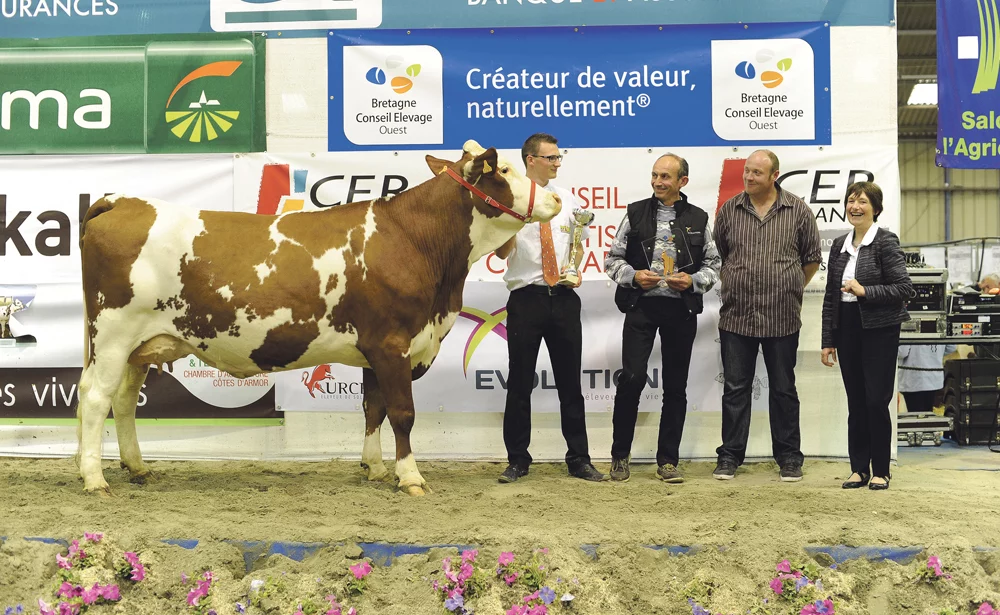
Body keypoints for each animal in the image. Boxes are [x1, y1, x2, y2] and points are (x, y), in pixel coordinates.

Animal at [76, 141, 564, 496]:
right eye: (504, 171)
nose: (557, 197)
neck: (415, 241)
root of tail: (124, 201)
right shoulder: (394, 343)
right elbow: (402, 412)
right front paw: (410, 477)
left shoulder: (376, 350)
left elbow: (373, 407)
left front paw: (375, 467)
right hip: (114, 333)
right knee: (96, 397)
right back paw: (94, 479)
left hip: (140, 344)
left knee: (120, 399)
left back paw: (133, 467)